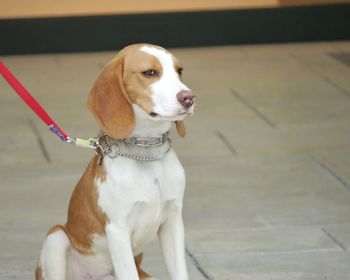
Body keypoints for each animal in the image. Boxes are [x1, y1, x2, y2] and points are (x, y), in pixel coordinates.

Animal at [34, 44, 194, 280]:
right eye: (150, 73)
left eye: (179, 71)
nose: (189, 98)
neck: (146, 152)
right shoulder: (118, 230)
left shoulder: (173, 221)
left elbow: (180, 272)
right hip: (56, 236)